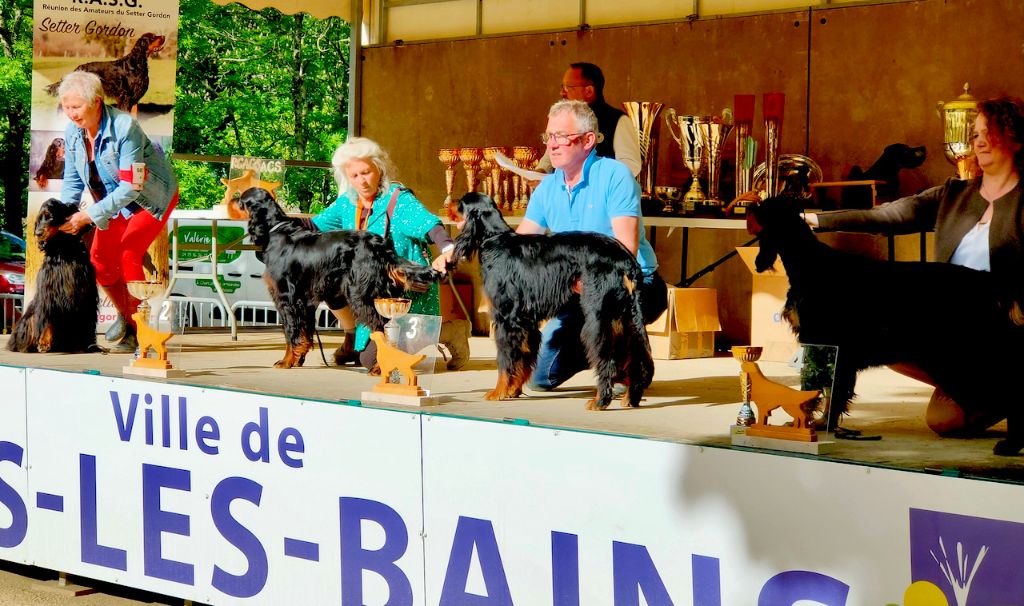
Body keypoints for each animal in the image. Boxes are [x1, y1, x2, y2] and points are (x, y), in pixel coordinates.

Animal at [7, 198, 98, 352]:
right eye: (39, 218)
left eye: (50, 216)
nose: (38, 233)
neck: (62, 248)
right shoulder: (48, 291)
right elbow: (47, 318)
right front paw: (44, 342)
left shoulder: (85, 291)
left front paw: (86, 343)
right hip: (30, 317)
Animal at [237, 188, 442, 368]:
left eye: (239, 200)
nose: (231, 198)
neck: (275, 230)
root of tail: (380, 246)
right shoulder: (305, 301)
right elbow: (304, 332)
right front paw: (298, 359)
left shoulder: (286, 298)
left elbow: (291, 333)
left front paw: (286, 362)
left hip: (361, 294)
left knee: (380, 327)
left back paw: (379, 366)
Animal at [450, 192, 655, 411]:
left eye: (461, 203)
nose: (449, 203)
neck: (495, 239)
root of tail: (627, 260)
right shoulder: (525, 322)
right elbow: (523, 356)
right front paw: (513, 390)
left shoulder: (506, 319)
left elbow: (505, 360)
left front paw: (499, 392)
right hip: (624, 317)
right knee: (635, 356)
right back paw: (631, 397)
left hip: (598, 319)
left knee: (608, 359)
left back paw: (600, 401)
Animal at [745, 196, 1024, 456]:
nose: (747, 207)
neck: (809, 264)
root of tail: (989, 282)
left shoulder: (824, 345)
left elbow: (820, 388)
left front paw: (815, 424)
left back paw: (1010, 445)